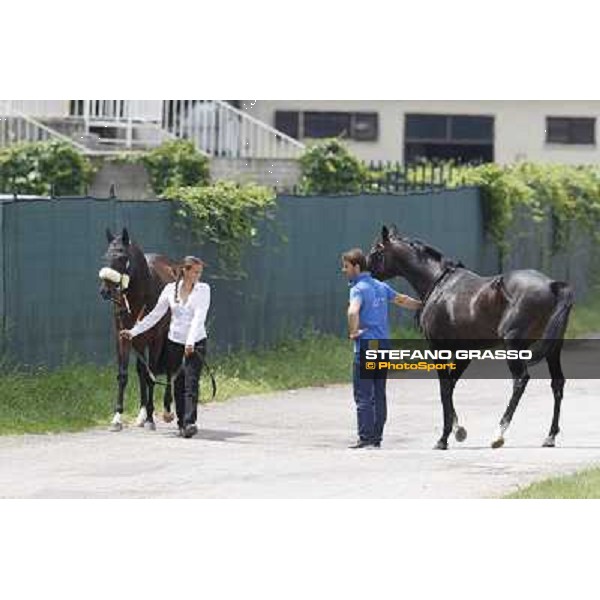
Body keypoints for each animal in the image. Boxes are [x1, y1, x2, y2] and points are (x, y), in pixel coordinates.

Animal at [98, 229, 177, 432]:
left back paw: (165, 410)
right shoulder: (123, 338)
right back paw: (141, 414)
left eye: (122, 257)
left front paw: (150, 418)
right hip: (139, 341)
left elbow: (152, 376)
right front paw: (117, 418)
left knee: (168, 368)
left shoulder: (156, 340)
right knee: (142, 370)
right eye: (105, 257)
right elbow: (124, 375)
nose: (105, 291)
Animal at [368, 225, 576, 450]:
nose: (366, 275)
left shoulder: (438, 349)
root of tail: (552, 285)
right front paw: (458, 430)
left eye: (376, 251)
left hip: (513, 346)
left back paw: (498, 435)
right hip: (552, 349)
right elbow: (451, 386)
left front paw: (443, 439)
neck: (439, 284)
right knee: (557, 383)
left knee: (521, 380)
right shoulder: (464, 352)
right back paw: (550, 436)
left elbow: (444, 389)